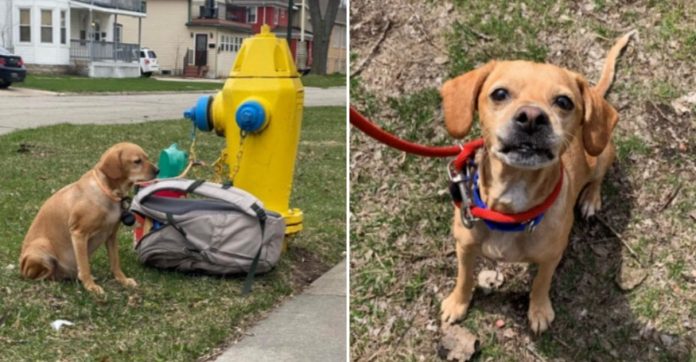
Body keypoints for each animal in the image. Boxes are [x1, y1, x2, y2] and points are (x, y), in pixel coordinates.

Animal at [19, 142, 158, 294]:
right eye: (137, 161)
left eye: (146, 157)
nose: (158, 170)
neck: (109, 192)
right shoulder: (79, 234)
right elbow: (85, 266)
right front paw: (90, 286)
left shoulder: (111, 235)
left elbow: (115, 262)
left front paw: (123, 280)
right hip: (41, 247)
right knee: (38, 275)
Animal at [444, 31, 632, 334]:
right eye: (499, 94)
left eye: (564, 102)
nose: (531, 117)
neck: (512, 203)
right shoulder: (465, 247)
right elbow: (464, 277)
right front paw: (457, 303)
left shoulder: (551, 256)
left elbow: (541, 283)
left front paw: (539, 310)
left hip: (602, 154)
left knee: (598, 178)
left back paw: (591, 199)